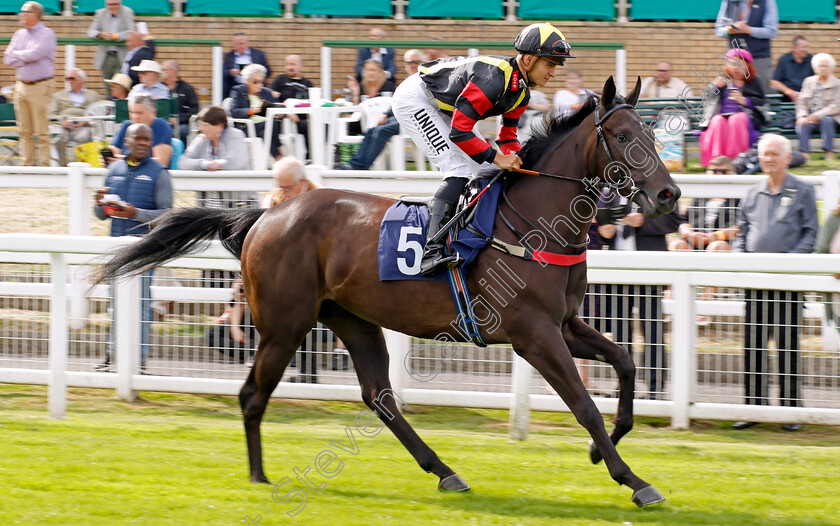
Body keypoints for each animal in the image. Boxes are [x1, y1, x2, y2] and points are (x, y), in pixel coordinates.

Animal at [95, 76, 680, 510]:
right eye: (622, 136)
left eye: (652, 135)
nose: (668, 194)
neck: (532, 221)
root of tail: (266, 215)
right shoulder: (533, 335)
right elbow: (583, 405)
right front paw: (633, 479)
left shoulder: (562, 324)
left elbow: (626, 362)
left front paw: (607, 447)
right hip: (285, 325)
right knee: (252, 394)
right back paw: (260, 477)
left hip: (352, 318)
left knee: (380, 397)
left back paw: (444, 471)